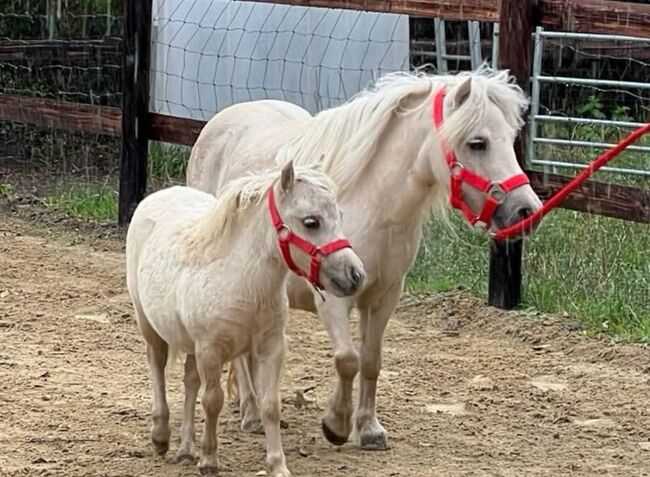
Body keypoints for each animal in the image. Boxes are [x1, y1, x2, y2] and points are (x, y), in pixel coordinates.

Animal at [126, 160, 366, 476]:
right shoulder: (211, 350)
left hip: (191, 345)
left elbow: (270, 405)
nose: (356, 275)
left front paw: (277, 464)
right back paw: (161, 436)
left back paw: (187, 449)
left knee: (190, 383)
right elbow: (213, 401)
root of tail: (155, 197)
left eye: (339, 215)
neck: (244, 283)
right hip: (150, 327)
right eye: (311, 222)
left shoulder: (272, 347)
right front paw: (209, 460)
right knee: (157, 365)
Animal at [186, 68, 543, 451]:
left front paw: (369, 428)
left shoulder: (385, 296)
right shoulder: (332, 296)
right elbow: (347, 360)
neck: (376, 206)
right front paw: (336, 425)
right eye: (478, 142)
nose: (527, 211)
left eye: (510, 138)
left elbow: (371, 361)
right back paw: (252, 413)